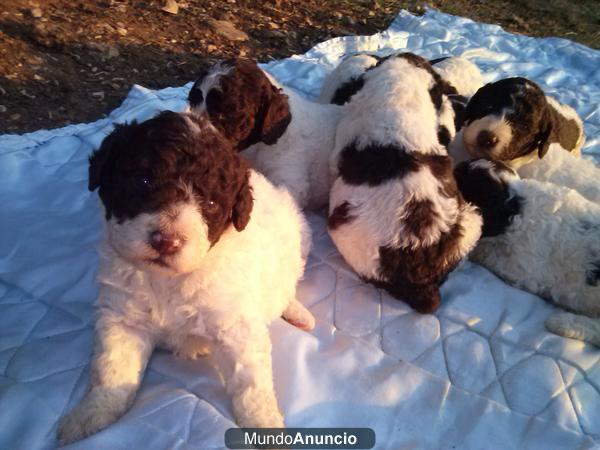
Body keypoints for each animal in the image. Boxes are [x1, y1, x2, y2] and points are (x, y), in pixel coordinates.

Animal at [58, 111, 316, 442]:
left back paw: (298, 313)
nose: (166, 241)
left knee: (289, 285)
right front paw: (91, 414)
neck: (168, 279)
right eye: (142, 180)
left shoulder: (236, 326)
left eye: (210, 204)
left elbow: (251, 383)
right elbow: (112, 369)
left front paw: (266, 427)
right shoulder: (123, 318)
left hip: (301, 239)